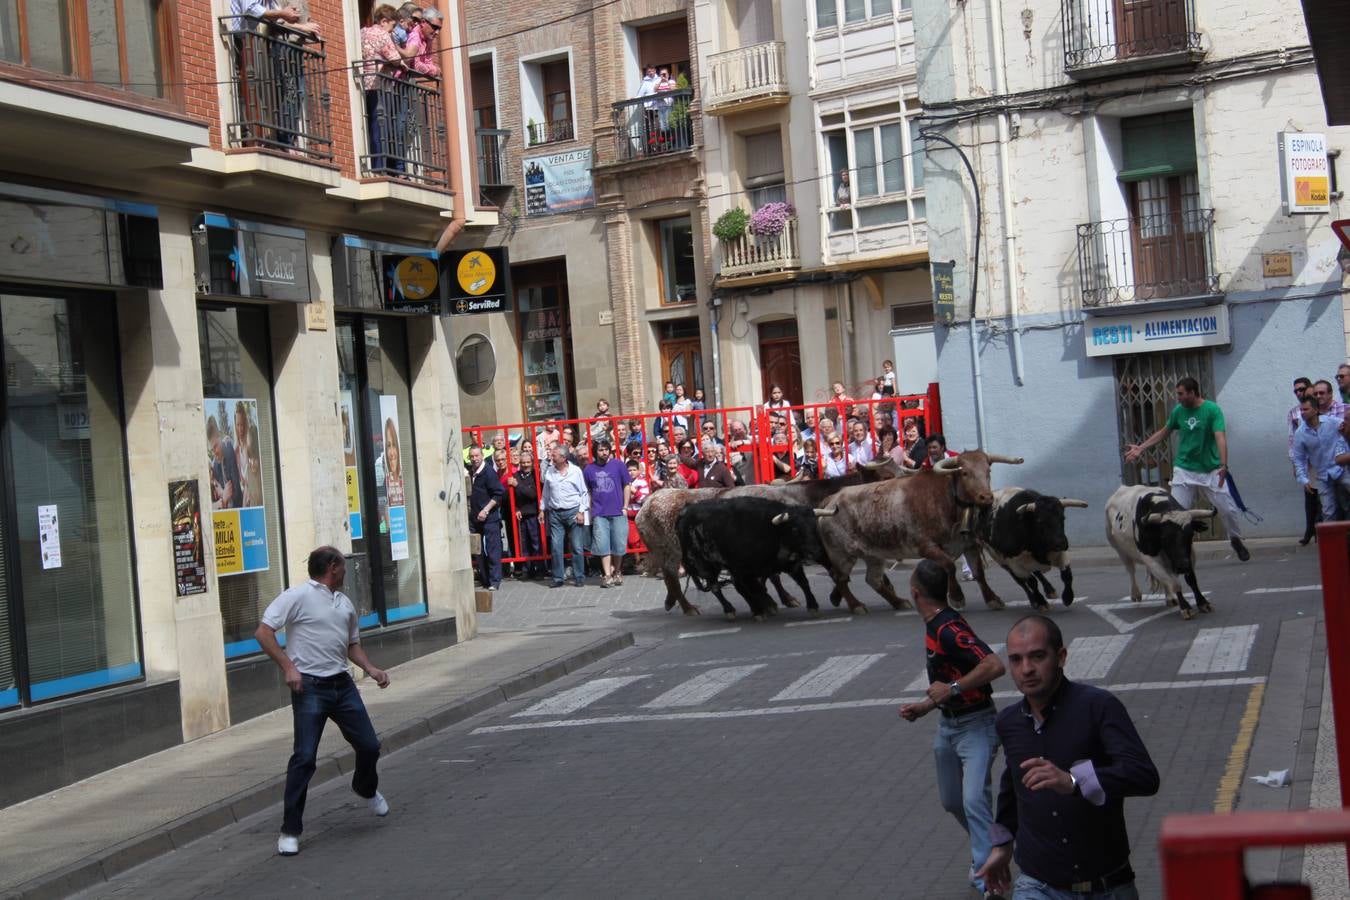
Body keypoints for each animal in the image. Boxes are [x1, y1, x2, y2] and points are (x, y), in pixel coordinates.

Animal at [810, 450, 1020, 612]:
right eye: (965, 473)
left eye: (987, 470)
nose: (986, 497)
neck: (947, 500)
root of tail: (832, 499)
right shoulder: (927, 547)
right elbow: (949, 566)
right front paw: (957, 597)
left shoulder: (969, 545)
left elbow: (979, 573)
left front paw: (993, 599)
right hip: (842, 555)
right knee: (840, 578)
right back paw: (856, 606)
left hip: (874, 555)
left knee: (873, 579)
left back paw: (898, 602)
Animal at [1101, 485, 1220, 620]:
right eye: (1165, 537)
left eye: (1190, 535)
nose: (1182, 566)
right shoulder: (1151, 558)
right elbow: (1175, 583)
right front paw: (1186, 607)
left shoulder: (1188, 555)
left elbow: (1191, 580)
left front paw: (1203, 603)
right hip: (1120, 550)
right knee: (1131, 570)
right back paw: (1136, 593)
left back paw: (1170, 598)